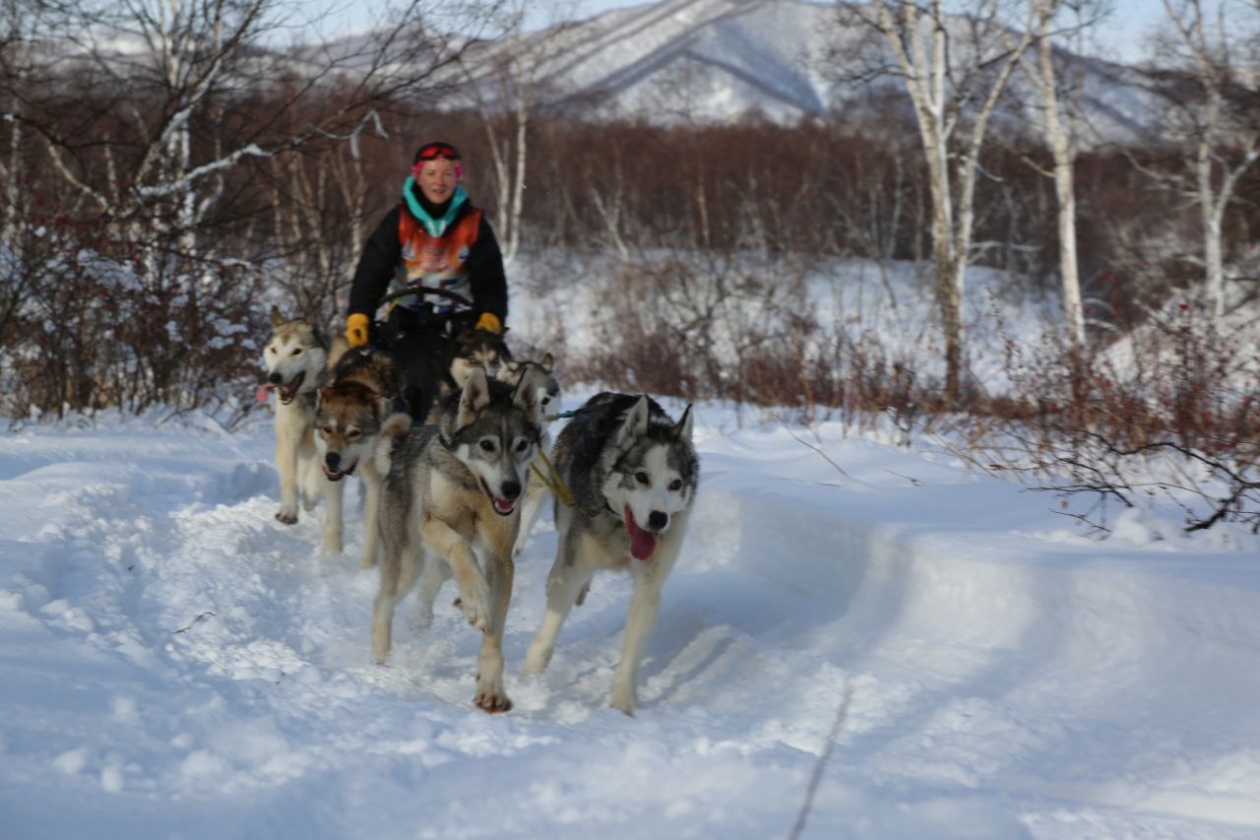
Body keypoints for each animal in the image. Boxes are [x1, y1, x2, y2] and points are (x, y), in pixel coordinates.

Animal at [260, 306, 342, 554]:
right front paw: (288, 510)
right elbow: (289, 478)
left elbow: (316, 474)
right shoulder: (289, 438)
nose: (274, 377)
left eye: (296, 351)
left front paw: (312, 493)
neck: (309, 397)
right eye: (274, 350)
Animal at [313, 342, 398, 571]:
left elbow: (372, 531)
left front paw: (366, 567)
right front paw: (332, 556)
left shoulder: (378, 484)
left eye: (355, 433)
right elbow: (335, 520)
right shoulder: (331, 478)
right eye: (327, 429)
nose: (331, 458)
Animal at [372, 370, 551, 715]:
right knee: (383, 601)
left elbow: (494, 629)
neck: (473, 486)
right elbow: (462, 550)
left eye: (522, 445)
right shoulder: (433, 523)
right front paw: (476, 599)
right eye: (487, 445)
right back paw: (381, 655)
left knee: (430, 582)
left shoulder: (500, 556)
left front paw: (491, 689)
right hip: (408, 559)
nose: (511, 489)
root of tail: (400, 446)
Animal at [519, 395, 700, 715]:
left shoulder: (648, 587)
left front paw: (623, 704)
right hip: (564, 508)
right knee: (562, 548)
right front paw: (529, 680)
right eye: (641, 477)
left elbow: (631, 651)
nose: (658, 519)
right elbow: (548, 631)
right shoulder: (575, 562)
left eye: (676, 484)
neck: (622, 531)